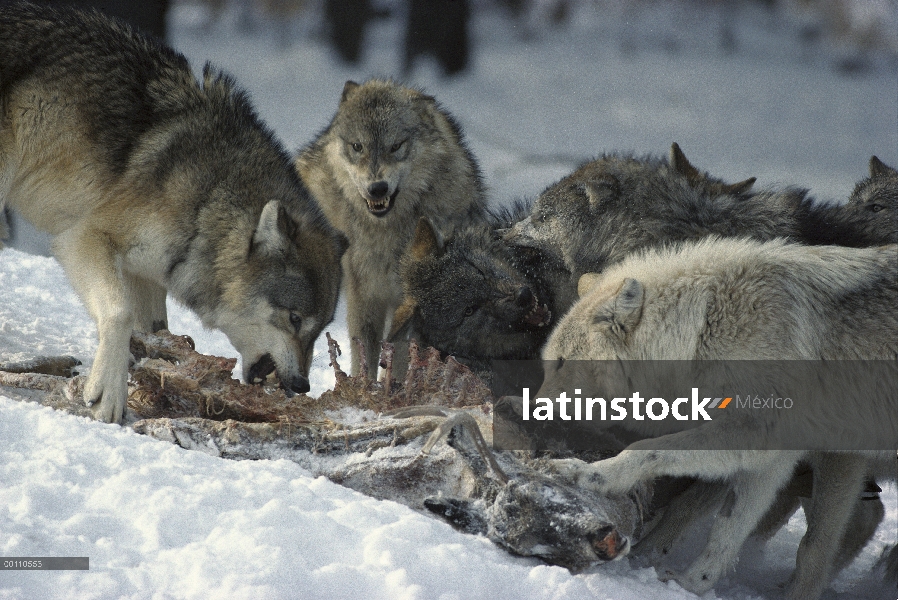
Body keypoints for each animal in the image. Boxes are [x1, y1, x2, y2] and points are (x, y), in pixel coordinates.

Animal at [0, 4, 346, 424]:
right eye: (294, 319)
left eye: (318, 329)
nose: (302, 385)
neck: (206, 203)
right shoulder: (83, 238)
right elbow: (119, 314)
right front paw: (109, 394)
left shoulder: (144, 272)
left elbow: (156, 332)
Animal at [296, 79, 486, 378]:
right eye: (357, 146)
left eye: (396, 146)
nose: (378, 188)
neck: (383, 233)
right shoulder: (364, 292)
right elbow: (363, 350)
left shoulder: (407, 300)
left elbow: (397, 357)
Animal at [536, 238, 892, 600]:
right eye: (548, 363)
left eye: (562, 362)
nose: (534, 412)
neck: (702, 331)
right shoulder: (772, 457)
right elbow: (727, 529)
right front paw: (692, 583)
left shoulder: (751, 432)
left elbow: (646, 450)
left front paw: (587, 474)